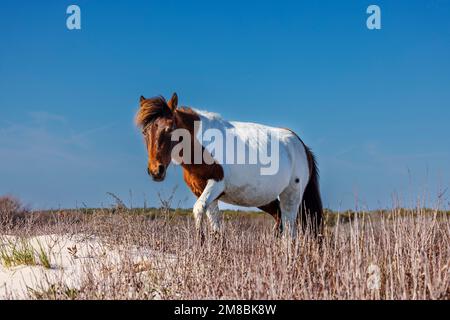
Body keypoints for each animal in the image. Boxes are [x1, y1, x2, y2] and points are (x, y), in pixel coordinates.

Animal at [135, 92, 322, 238]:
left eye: (169, 129)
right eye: (144, 132)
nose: (156, 171)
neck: (201, 143)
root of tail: (302, 146)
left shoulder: (216, 184)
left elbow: (198, 209)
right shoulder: (204, 192)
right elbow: (216, 229)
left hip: (291, 196)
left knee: (290, 232)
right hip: (265, 198)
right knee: (280, 220)